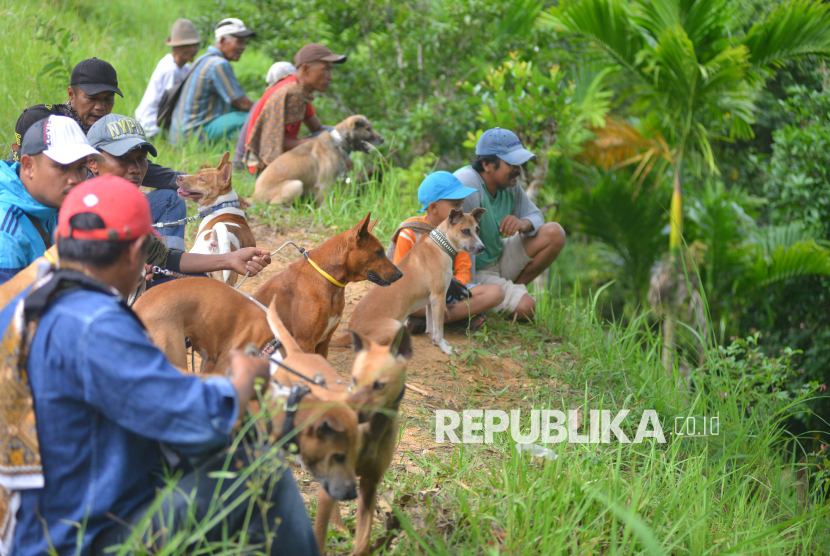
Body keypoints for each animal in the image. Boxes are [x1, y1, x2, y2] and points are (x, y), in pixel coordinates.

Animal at [252, 114, 386, 205]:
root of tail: (255, 195)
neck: (339, 141)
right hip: (297, 184)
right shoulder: (324, 184)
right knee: (272, 206)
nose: (383, 139)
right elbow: (325, 205)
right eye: (368, 129)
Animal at [332, 208, 488, 356]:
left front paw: (436, 342)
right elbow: (439, 329)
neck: (441, 245)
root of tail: (350, 332)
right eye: (465, 231)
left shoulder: (431, 300)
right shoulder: (439, 296)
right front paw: (444, 348)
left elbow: (432, 327)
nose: (482, 248)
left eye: (477, 230)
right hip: (396, 326)